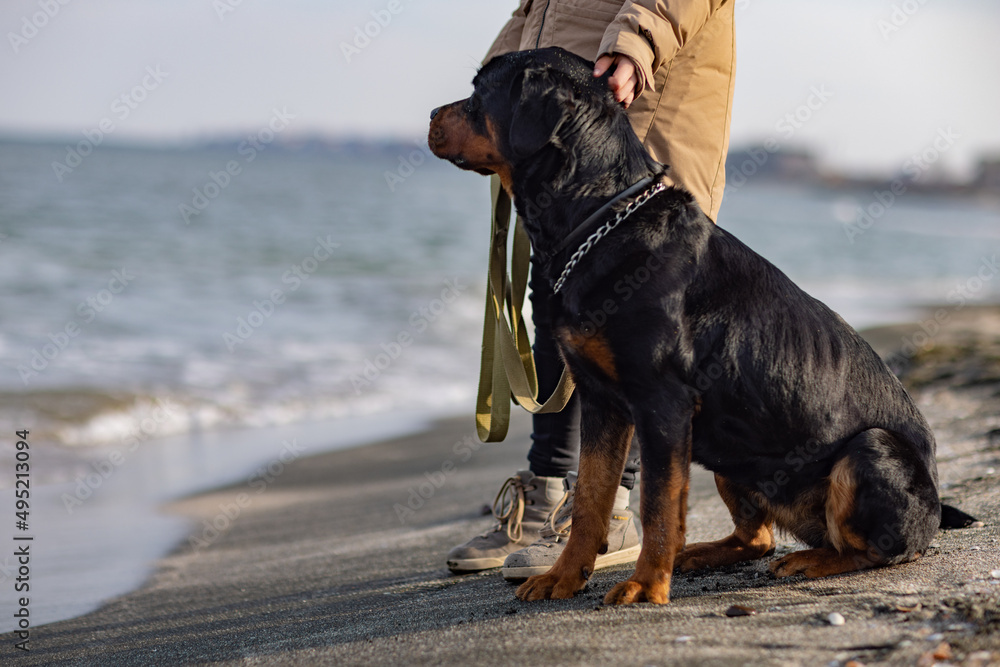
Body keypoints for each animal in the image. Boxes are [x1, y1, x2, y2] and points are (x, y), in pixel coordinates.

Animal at [428, 44, 968, 604]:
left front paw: (645, 585)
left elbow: (657, 506)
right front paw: (564, 576)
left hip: (871, 451)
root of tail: (936, 508)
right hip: (732, 457)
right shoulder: (603, 402)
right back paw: (707, 553)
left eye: (478, 91)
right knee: (757, 537)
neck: (601, 218)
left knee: (875, 548)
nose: (430, 116)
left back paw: (810, 560)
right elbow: (591, 499)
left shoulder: (662, 402)